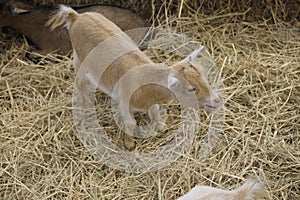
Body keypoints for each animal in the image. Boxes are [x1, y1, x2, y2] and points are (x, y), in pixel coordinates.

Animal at [48, 5, 221, 150]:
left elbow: (155, 110)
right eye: (191, 88)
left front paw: (160, 125)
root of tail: (76, 16)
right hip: (79, 59)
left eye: (204, 76)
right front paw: (129, 144)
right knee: (79, 81)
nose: (217, 100)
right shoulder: (124, 101)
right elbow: (130, 123)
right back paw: (87, 102)